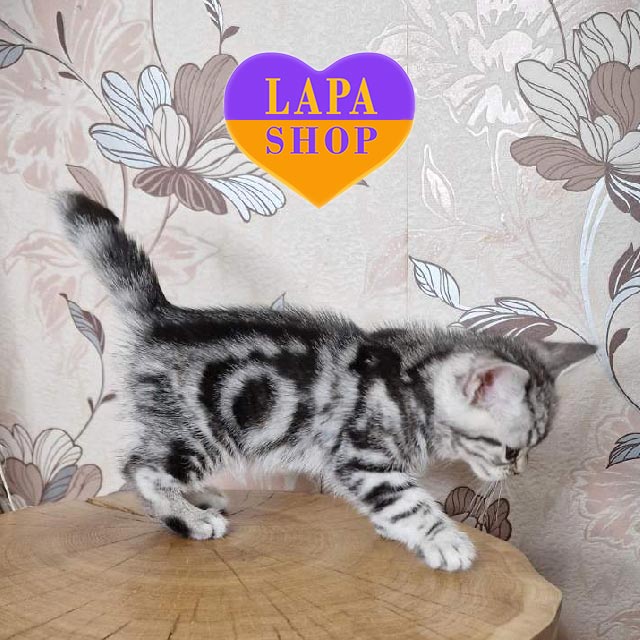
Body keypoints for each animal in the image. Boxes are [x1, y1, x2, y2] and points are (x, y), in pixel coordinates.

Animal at [58, 192, 596, 571]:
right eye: (511, 450)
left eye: (530, 450)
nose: (518, 474)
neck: (413, 383)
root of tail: (165, 317)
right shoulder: (361, 455)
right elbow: (409, 501)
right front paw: (443, 540)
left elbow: (399, 501)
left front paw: (403, 532)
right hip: (203, 430)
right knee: (142, 469)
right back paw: (190, 519)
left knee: (145, 464)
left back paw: (200, 498)